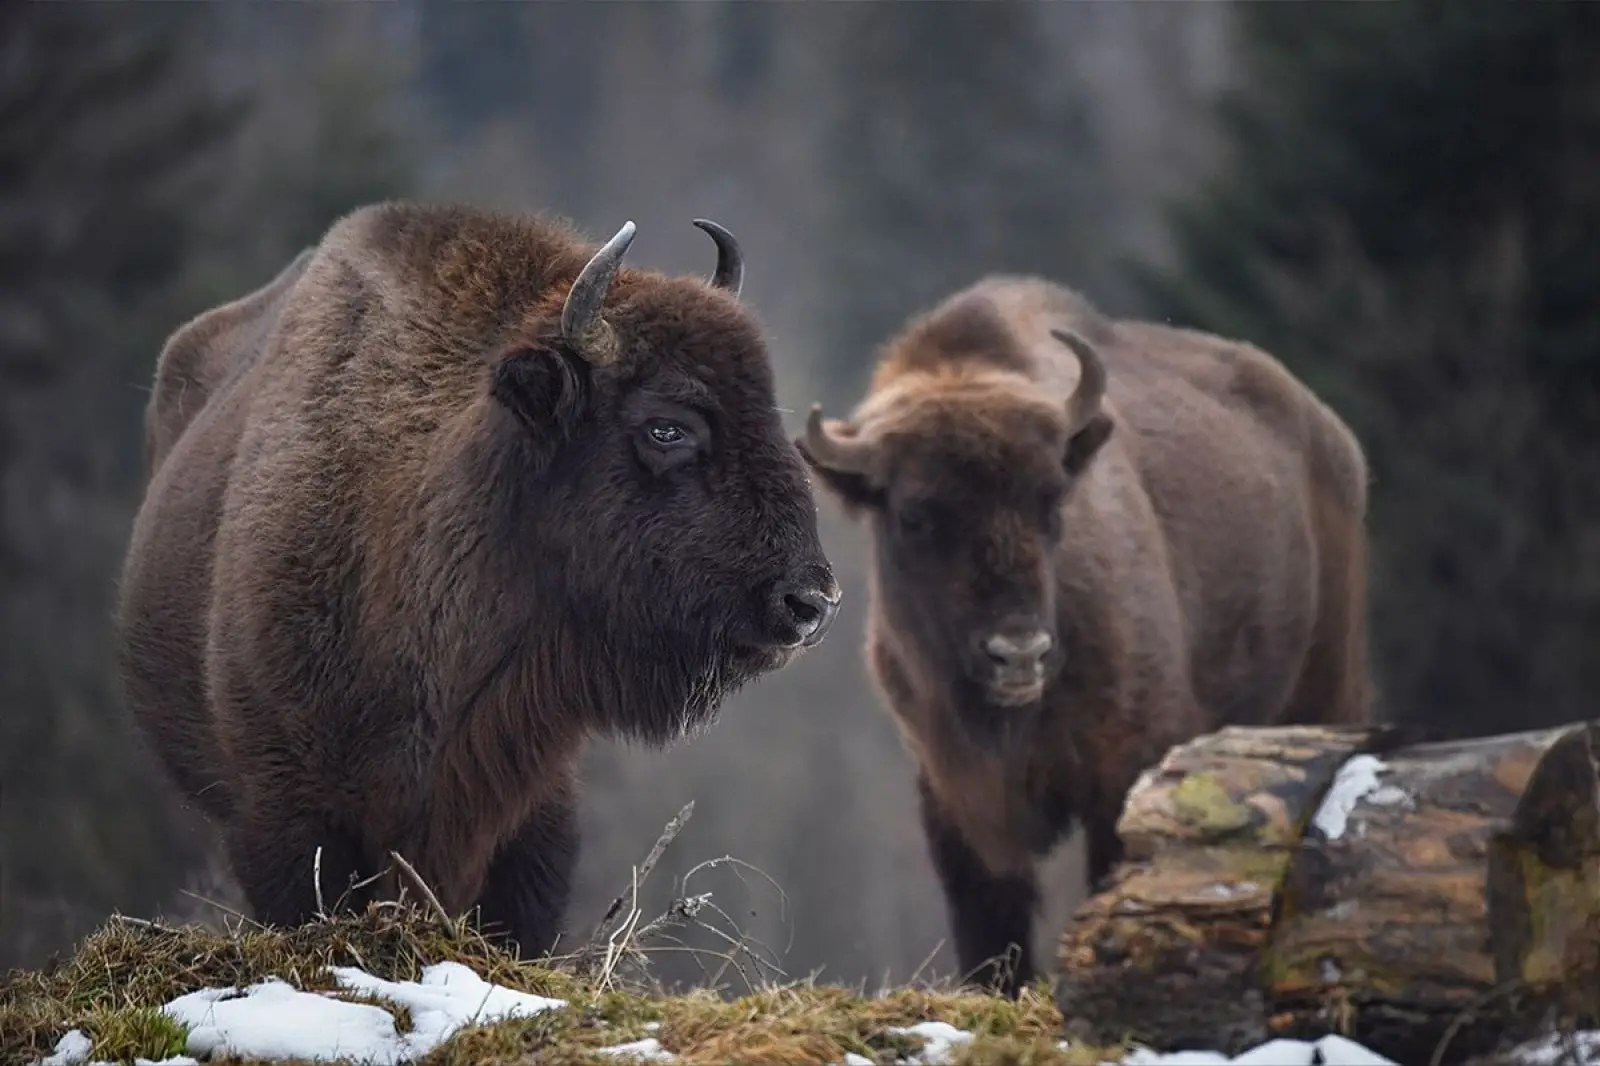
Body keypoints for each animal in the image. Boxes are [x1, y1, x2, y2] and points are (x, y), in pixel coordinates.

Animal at [800, 275, 1376, 998]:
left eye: (1051, 498)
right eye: (913, 514)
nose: (1018, 653)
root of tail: (1333, 439)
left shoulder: (1124, 765)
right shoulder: (957, 790)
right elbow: (991, 924)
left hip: (1329, 685)